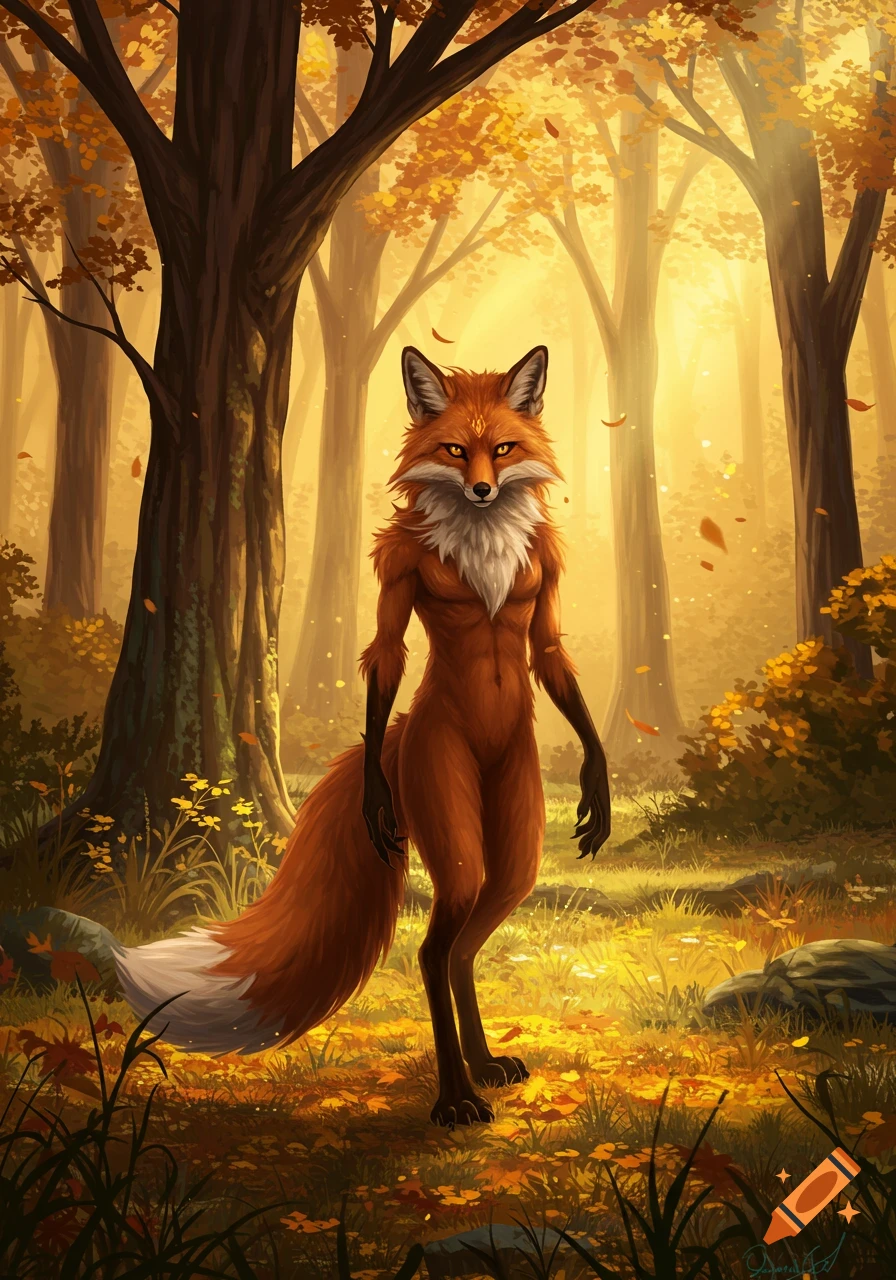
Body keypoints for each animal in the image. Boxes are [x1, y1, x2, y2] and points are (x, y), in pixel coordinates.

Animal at [112, 344, 611, 1127]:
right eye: (454, 450)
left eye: (502, 449)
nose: (479, 490)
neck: (484, 542)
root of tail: (406, 733)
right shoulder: (399, 569)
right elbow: (387, 652)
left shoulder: (547, 578)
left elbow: (551, 652)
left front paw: (599, 783)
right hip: (454, 823)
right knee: (435, 952)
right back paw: (456, 1095)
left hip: (515, 843)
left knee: (465, 945)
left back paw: (482, 1065)